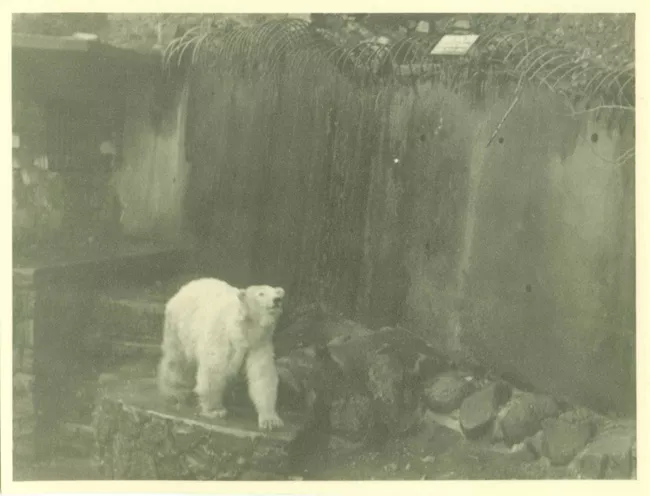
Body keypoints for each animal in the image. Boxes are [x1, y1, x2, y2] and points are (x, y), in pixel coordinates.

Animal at [157, 277, 285, 430]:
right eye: (261, 294)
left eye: (276, 293)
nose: (277, 300)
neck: (244, 330)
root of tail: (183, 288)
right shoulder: (221, 335)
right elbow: (214, 369)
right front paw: (215, 410)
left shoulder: (259, 344)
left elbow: (262, 375)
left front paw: (270, 420)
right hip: (179, 327)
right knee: (177, 360)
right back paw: (176, 391)